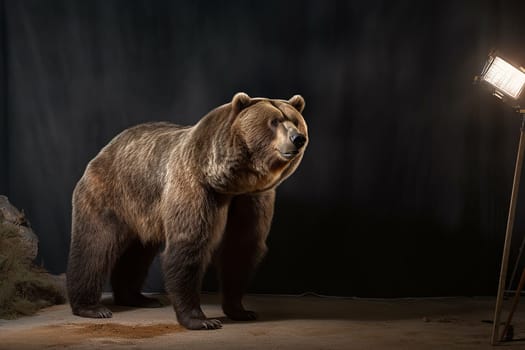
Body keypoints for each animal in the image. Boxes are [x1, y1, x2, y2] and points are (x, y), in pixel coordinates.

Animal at [67, 91, 310, 330]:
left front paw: (241, 310)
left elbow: (241, 247)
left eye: (295, 120)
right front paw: (201, 319)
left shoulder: (251, 198)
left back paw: (137, 298)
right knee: (95, 246)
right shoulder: (196, 186)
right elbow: (190, 244)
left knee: (138, 252)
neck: (231, 181)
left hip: (143, 211)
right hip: (110, 194)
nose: (298, 138)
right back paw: (91, 307)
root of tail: (105, 149)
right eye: (274, 121)